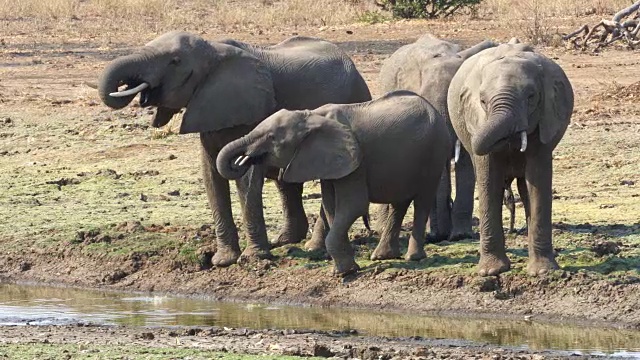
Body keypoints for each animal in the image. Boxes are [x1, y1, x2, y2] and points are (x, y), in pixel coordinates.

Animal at [97, 30, 372, 268]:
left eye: (174, 61)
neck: (213, 50)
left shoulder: (250, 109)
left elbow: (246, 178)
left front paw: (253, 258)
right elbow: (211, 177)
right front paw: (223, 261)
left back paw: (313, 248)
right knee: (286, 181)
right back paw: (285, 240)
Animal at [215, 90, 450, 276]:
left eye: (271, 137)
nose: (243, 159)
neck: (310, 116)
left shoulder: (355, 162)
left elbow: (353, 205)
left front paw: (344, 273)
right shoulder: (329, 163)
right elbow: (331, 207)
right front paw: (345, 270)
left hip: (434, 153)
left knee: (422, 200)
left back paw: (413, 257)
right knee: (399, 203)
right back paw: (381, 256)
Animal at [444, 40, 576, 276]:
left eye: (531, 96)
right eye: (482, 101)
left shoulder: (546, 119)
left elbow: (538, 178)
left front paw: (542, 272)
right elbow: (488, 178)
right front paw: (490, 272)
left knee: (525, 187)